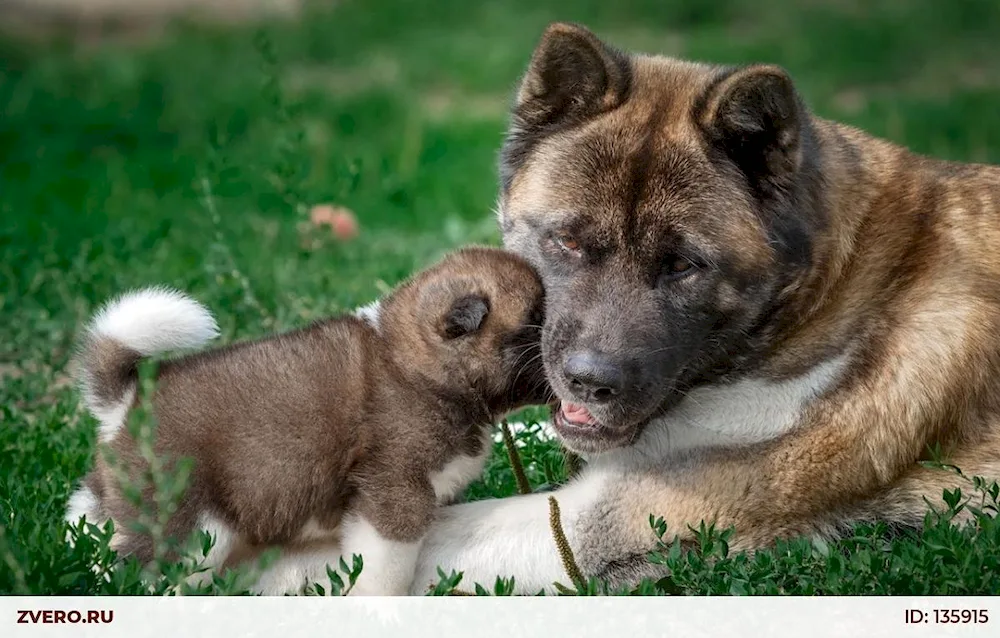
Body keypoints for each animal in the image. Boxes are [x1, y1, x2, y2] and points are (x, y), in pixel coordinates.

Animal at [64, 248, 548, 596]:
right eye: (536, 317)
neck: (418, 366)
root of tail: (126, 402)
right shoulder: (394, 493)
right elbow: (387, 569)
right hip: (187, 526)